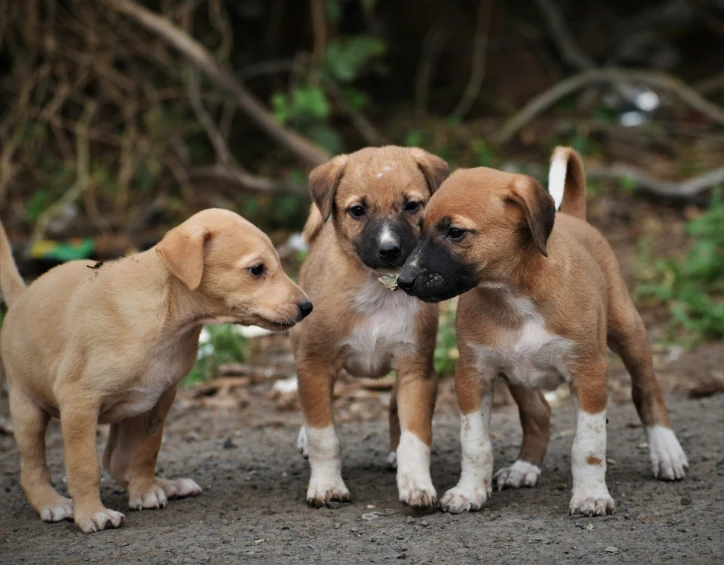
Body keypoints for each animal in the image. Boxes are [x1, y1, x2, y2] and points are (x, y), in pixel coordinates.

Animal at [0, 209, 312, 532]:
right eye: (256, 269)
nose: (308, 307)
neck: (168, 321)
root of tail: (22, 298)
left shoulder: (157, 400)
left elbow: (145, 452)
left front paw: (146, 491)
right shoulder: (79, 402)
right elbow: (84, 465)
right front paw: (91, 513)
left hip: (127, 411)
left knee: (116, 460)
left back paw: (168, 485)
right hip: (27, 410)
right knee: (32, 468)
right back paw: (51, 502)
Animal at [292, 144, 450, 506]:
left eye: (412, 205)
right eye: (358, 210)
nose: (389, 250)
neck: (379, 291)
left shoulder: (416, 370)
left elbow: (416, 436)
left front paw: (416, 483)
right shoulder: (315, 364)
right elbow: (324, 434)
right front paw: (326, 484)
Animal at [398, 147, 688, 516]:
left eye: (456, 233)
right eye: (419, 227)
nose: (403, 281)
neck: (514, 297)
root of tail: (575, 218)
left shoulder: (589, 373)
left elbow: (588, 445)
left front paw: (591, 495)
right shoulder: (473, 375)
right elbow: (475, 443)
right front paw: (469, 491)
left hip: (628, 331)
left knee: (647, 388)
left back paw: (666, 451)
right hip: (519, 375)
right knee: (539, 414)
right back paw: (524, 467)